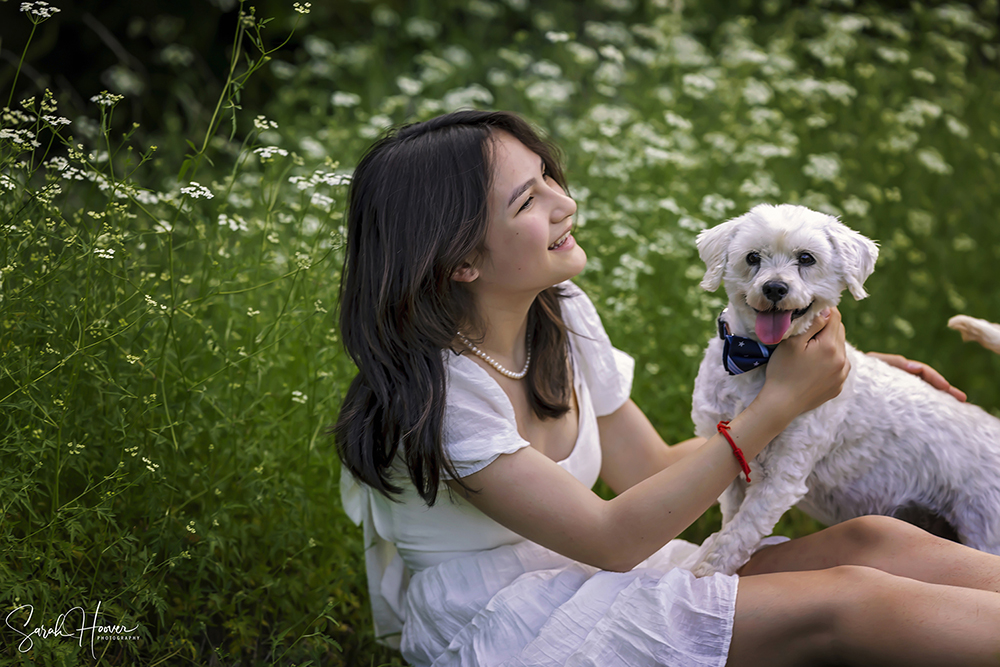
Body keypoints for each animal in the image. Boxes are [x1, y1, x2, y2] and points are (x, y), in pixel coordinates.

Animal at [684, 205, 1000, 580]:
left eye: (806, 258)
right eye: (752, 257)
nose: (774, 287)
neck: (760, 360)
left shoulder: (782, 476)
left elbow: (737, 533)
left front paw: (705, 572)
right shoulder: (730, 468)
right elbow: (732, 521)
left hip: (986, 531)